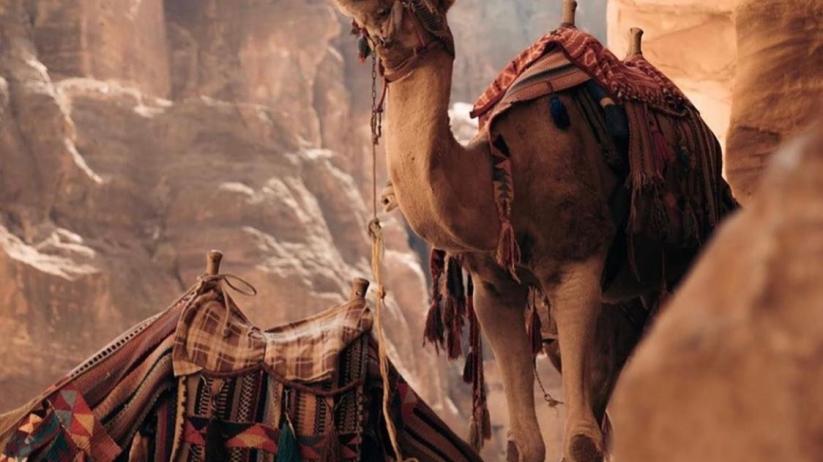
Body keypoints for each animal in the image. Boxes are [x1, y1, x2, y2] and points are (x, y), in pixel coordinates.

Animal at [331, 0, 731, 461]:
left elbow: (580, 441)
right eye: (359, 22)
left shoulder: (576, 267)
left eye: (421, 8)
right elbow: (525, 444)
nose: (369, 17)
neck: (500, 178)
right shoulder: (494, 289)